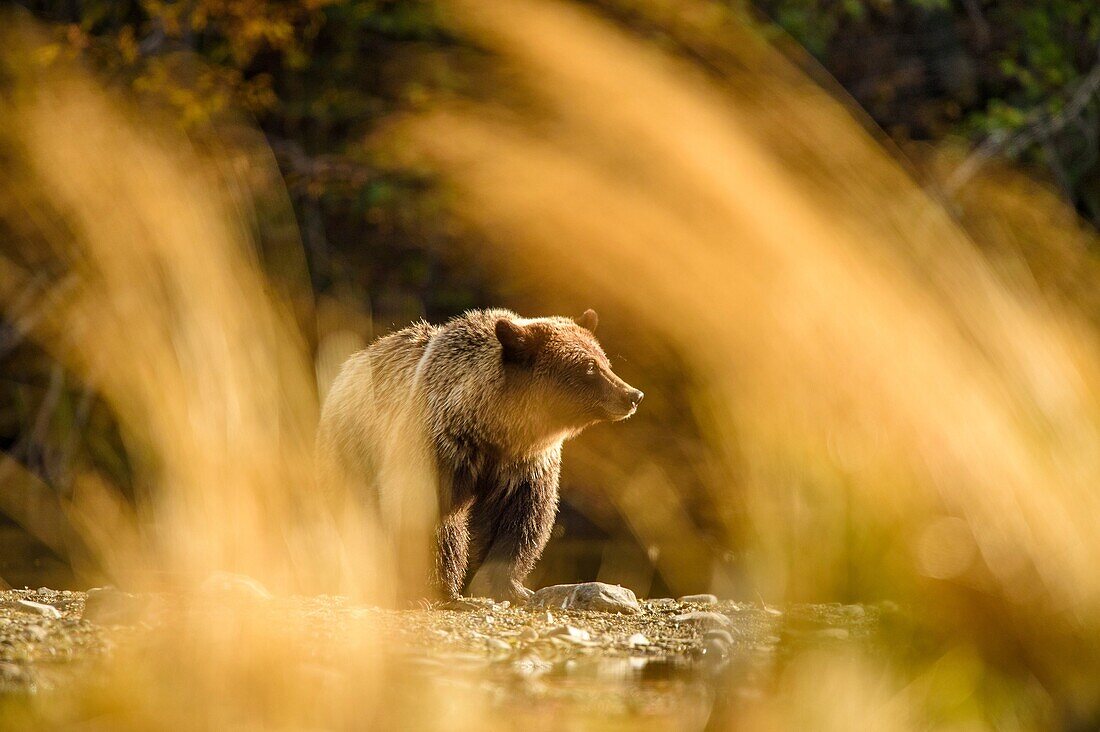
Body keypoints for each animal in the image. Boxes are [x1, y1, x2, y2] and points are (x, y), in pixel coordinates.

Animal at [316, 308, 642, 598]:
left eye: (605, 361)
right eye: (589, 367)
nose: (633, 395)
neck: (490, 429)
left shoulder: (522, 465)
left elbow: (518, 519)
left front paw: (505, 586)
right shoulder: (439, 451)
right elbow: (425, 517)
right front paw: (430, 587)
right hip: (352, 451)